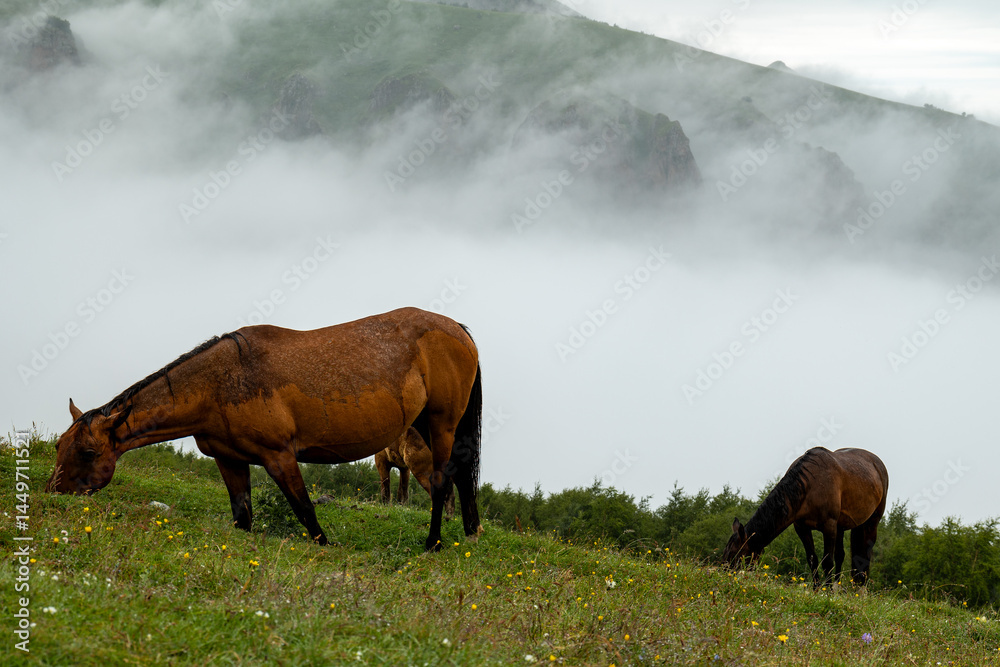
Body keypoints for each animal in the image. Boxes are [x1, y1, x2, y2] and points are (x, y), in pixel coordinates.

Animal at [45, 307, 483, 551]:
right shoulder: (229, 460)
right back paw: (471, 531)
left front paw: (328, 545)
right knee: (462, 476)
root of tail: (459, 330)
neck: (220, 382)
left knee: (442, 480)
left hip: (441, 425)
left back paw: (433, 543)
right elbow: (243, 517)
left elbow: (305, 511)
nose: (53, 494)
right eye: (58, 447)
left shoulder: (279, 456)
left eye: (88, 453)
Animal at [722, 447, 888, 586]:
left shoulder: (829, 527)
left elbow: (827, 561)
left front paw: (827, 592)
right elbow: (812, 559)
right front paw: (817, 589)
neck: (809, 487)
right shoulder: (802, 528)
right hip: (841, 527)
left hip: (871, 523)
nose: (724, 577)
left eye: (736, 554)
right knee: (841, 555)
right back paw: (839, 587)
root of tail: (877, 462)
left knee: (865, 555)